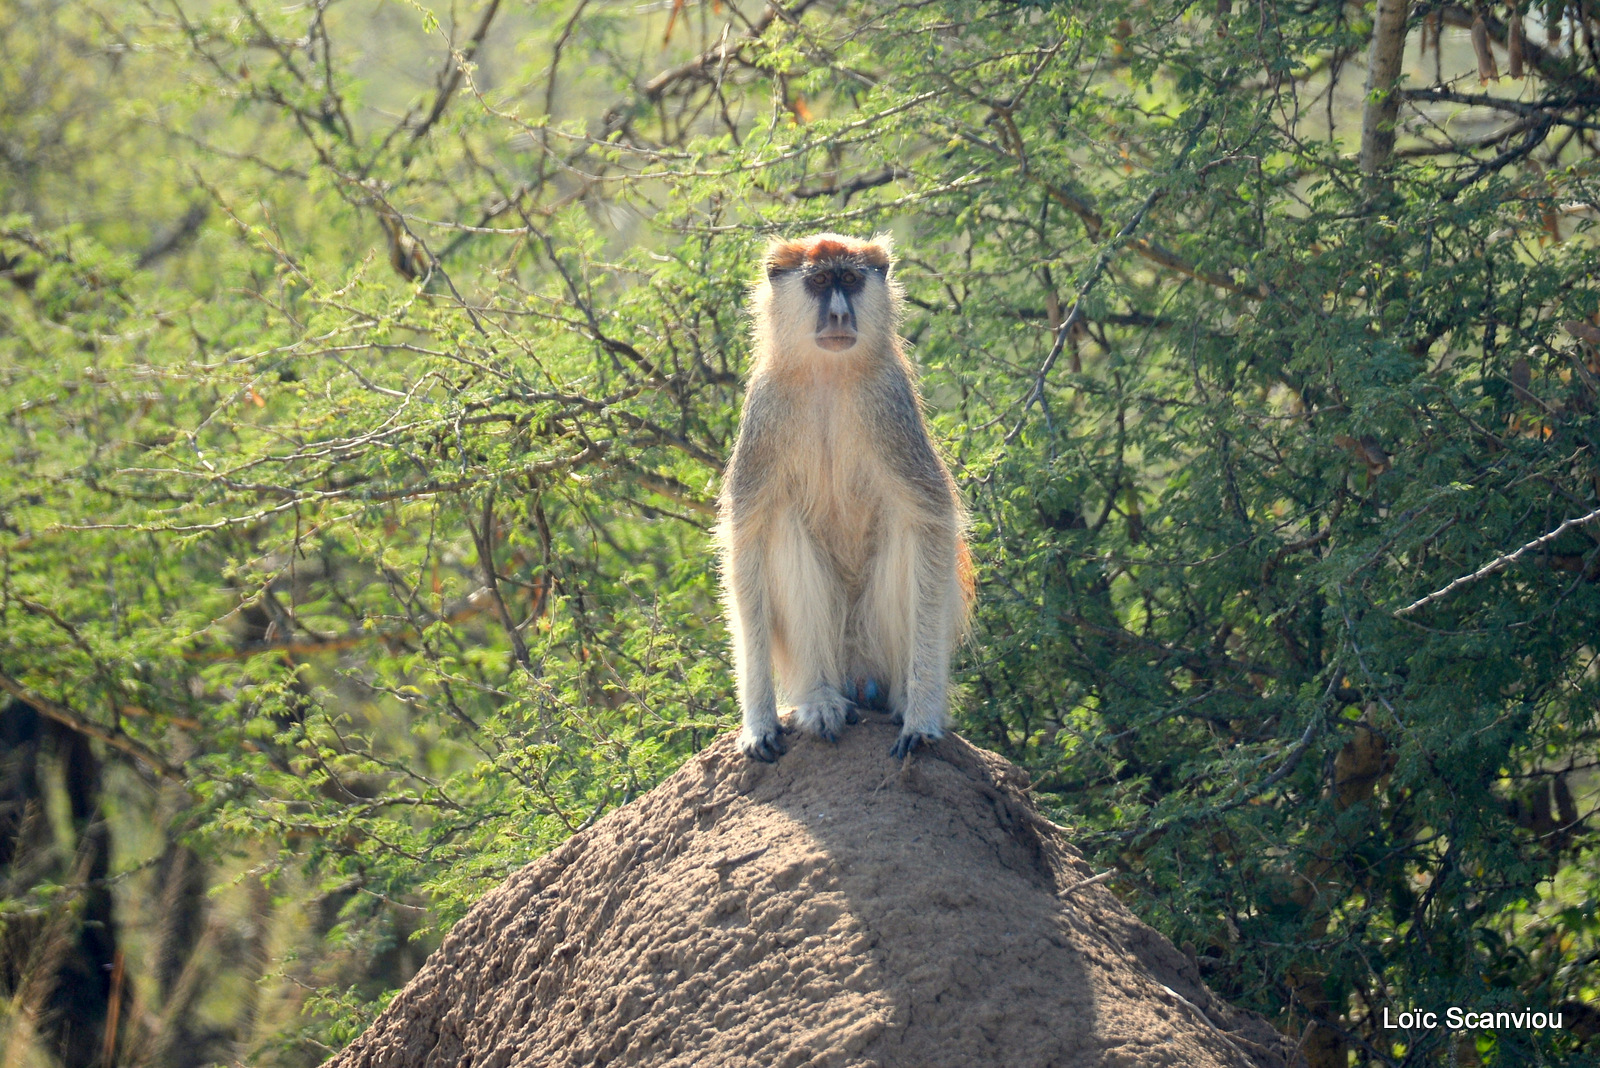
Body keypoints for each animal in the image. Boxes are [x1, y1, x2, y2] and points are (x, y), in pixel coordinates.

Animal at [716, 235, 972, 764]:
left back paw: (898, 700)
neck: (827, 374)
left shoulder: (889, 404)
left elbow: (931, 520)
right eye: (818, 282)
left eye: (850, 280)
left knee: (904, 529)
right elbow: (746, 538)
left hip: (878, 642)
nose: (838, 314)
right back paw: (821, 701)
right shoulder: (764, 411)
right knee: (783, 524)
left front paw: (922, 716)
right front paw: (758, 723)